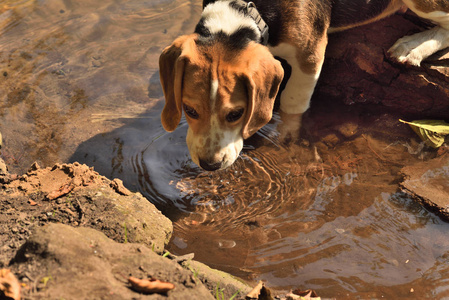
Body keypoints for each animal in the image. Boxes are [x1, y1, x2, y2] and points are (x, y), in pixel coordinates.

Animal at [158, 0, 448, 171]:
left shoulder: (310, 54)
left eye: (235, 114)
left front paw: (288, 135)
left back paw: (413, 46)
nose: (210, 165)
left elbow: (292, 100)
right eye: (189, 111)